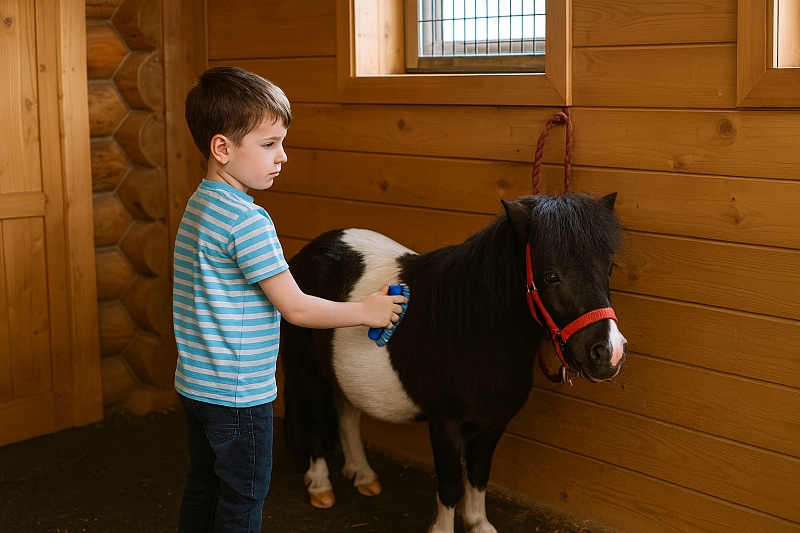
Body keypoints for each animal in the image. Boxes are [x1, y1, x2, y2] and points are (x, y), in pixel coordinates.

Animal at [280, 192, 626, 533]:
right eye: (550, 276)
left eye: (608, 268)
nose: (608, 353)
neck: (471, 331)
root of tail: (302, 257)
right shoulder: (445, 425)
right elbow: (450, 487)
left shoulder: (493, 423)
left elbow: (478, 475)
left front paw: (478, 522)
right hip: (308, 371)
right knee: (316, 417)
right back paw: (321, 486)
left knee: (347, 414)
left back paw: (363, 475)